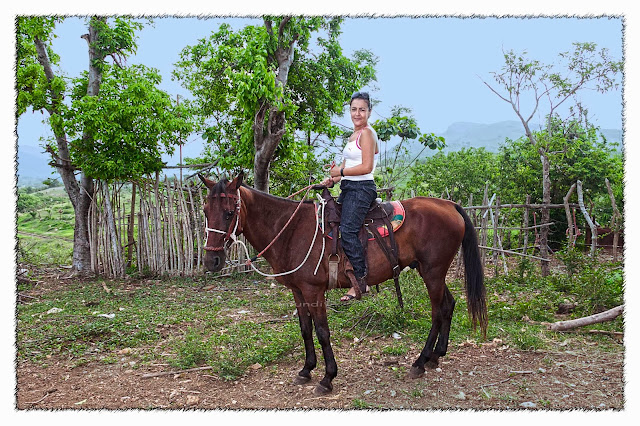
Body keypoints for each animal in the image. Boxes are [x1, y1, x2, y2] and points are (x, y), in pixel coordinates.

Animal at [200, 172, 484, 392]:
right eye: (205, 211)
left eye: (229, 213)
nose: (211, 261)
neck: (290, 230)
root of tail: (449, 205)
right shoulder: (298, 291)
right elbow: (305, 329)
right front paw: (306, 370)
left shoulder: (314, 291)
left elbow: (322, 332)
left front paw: (327, 378)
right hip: (432, 271)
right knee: (448, 304)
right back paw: (436, 356)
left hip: (433, 272)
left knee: (437, 312)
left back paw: (420, 362)